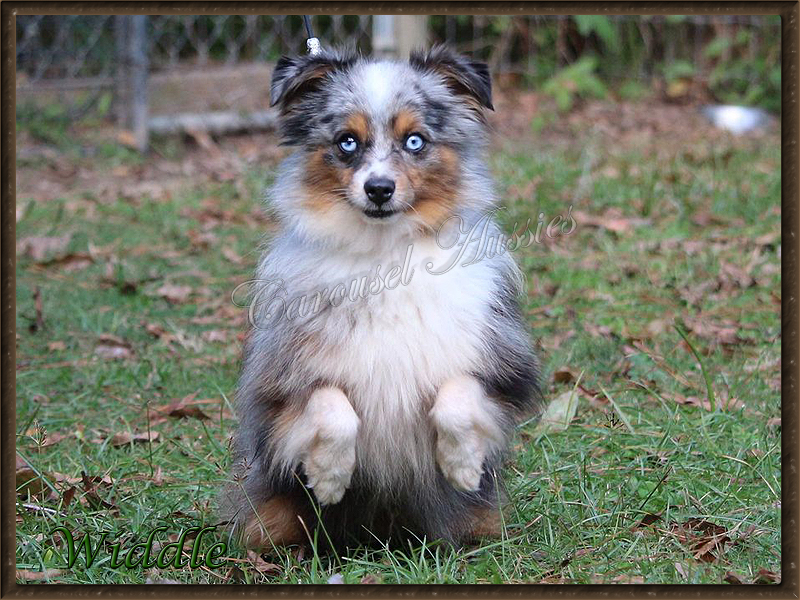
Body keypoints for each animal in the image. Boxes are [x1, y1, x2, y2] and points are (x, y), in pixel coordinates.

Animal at [222, 44, 540, 552]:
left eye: (415, 141)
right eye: (347, 143)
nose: (379, 189)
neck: (385, 252)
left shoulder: (502, 365)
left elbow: (458, 394)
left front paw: (463, 465)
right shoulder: (277, 383)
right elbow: (330, 404)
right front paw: (329, 477)